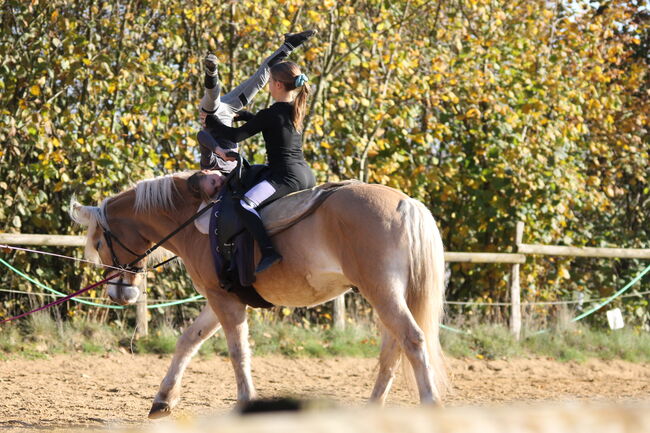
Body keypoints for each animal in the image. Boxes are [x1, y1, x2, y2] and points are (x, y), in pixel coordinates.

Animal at [69, 170, 446, 416]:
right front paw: (163, 399)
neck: (195, 219)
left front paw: (246, 402)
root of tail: (406, 204)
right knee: (393, 350)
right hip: (386, 295)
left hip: (382, 292)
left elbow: (238, 353)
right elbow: (188, 341)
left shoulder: (224, 301)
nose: (120, 294)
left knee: (411, 340)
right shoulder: (219, 298)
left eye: (99, 243)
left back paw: (431, 406)